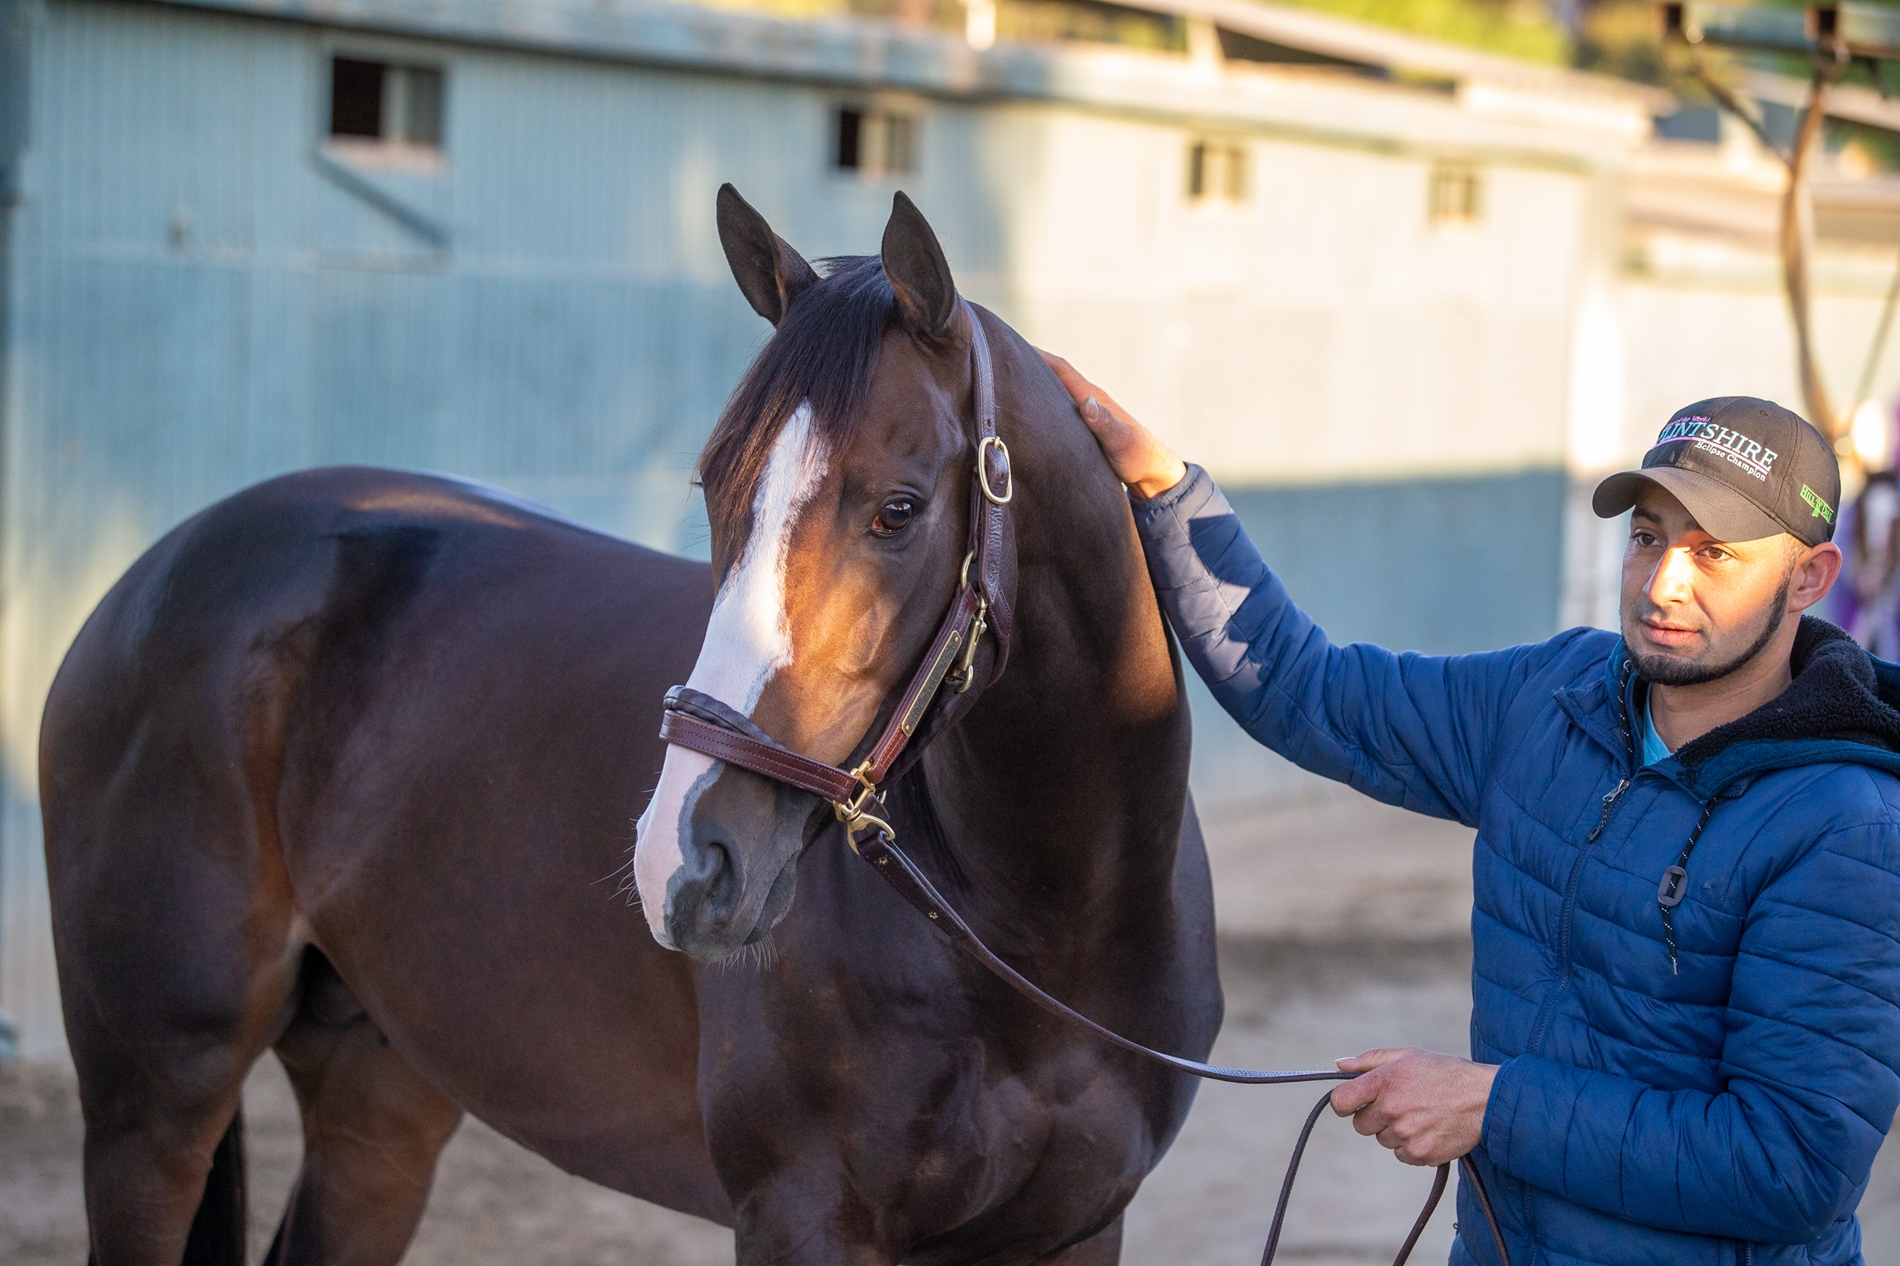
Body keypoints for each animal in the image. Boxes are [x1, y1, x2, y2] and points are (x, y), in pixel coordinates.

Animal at [48, 187, 1231, 1262]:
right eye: (714, 486)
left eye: (898, 509)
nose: (687, 864)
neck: (1042, 930)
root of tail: (158, 572)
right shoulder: (802, 1216)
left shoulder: (1074, 1229)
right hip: (155, 1103)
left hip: (379, 1096)